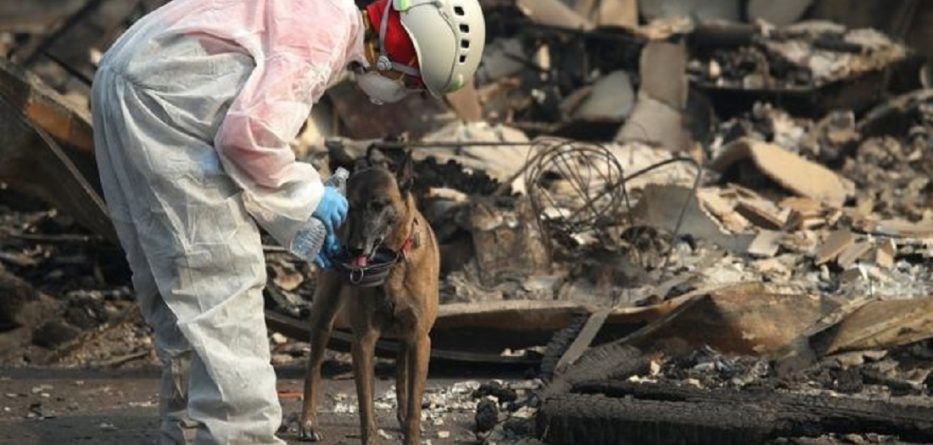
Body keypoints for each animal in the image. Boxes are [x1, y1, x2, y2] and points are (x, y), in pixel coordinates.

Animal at [300, 151, 442, 442]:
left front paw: (410, 429)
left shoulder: (420, 339)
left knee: (401, 368)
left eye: (378, 205)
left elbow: (414, 407)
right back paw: (308, 421)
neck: (393, 263)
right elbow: (366, 408)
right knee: (313, 368)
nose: (354, 249)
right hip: (324, 312)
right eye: (351, 207)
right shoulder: (363, 341)